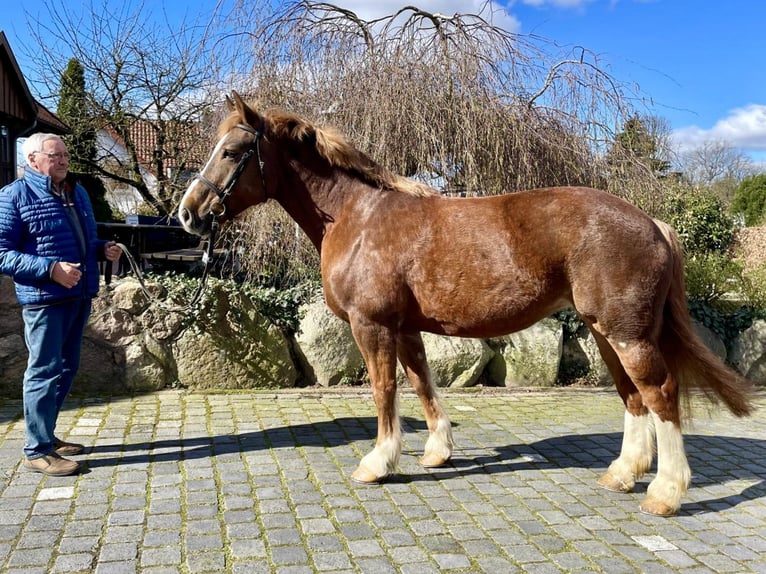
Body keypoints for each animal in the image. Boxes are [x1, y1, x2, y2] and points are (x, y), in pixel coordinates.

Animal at [180, 93, 756, 516]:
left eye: (232, 152)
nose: (188, 214)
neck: (357, 216)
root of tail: (652, 223)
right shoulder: (405, 327)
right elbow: (421, 383)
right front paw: (436, 452)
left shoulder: (373, 326)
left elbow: (385, 391)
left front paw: (378, 462)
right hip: (604, 331)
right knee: (633, 397)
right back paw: (622, 475)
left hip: (626, 334)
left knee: (660, 395)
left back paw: (665, 493)